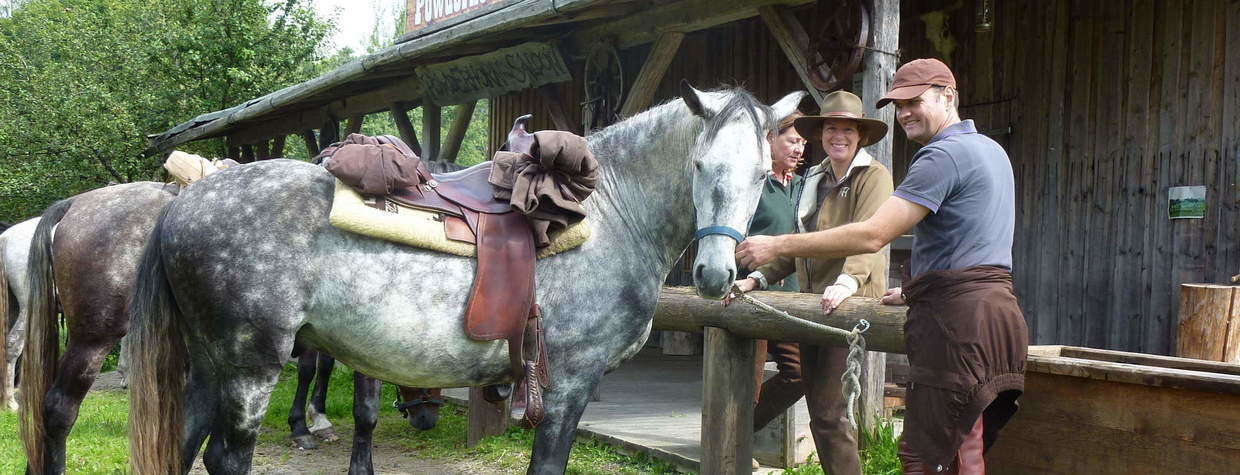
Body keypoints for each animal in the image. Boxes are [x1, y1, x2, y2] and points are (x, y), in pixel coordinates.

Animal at [125, 83, 803, 473]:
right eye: (701, 164)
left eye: (763, 172)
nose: (715, 273)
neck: (611, 211)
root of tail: (184, 204)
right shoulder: (568, 383)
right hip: (249, 368)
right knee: (224, 459)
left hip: (210, 365)